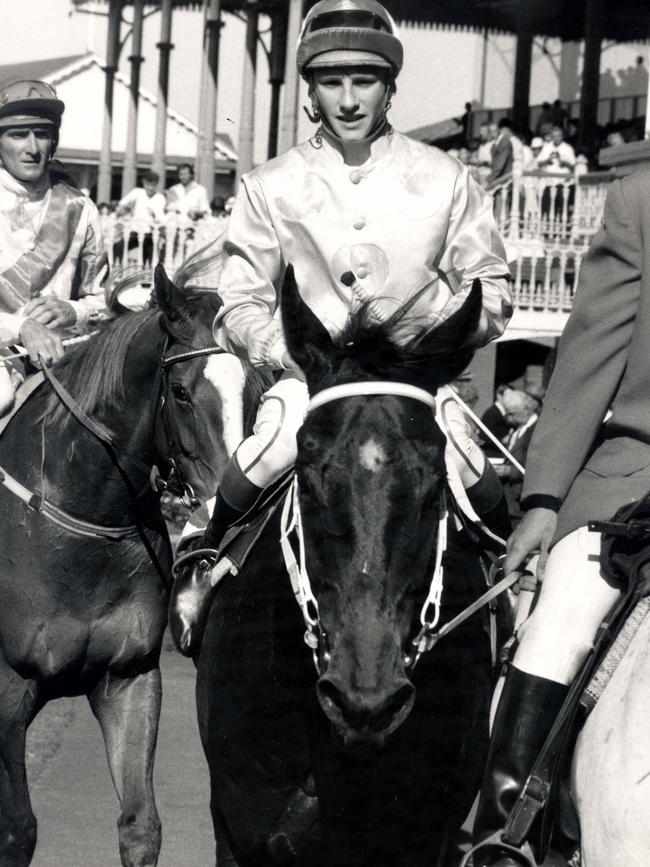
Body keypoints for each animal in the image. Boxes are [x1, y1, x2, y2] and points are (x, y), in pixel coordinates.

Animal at [0, 266, 264, 867]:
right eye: (182, 391)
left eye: (252, 390)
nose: (229, 502)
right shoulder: (7, 692)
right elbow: (17, 830)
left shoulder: (129, 678)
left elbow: (141, 825)